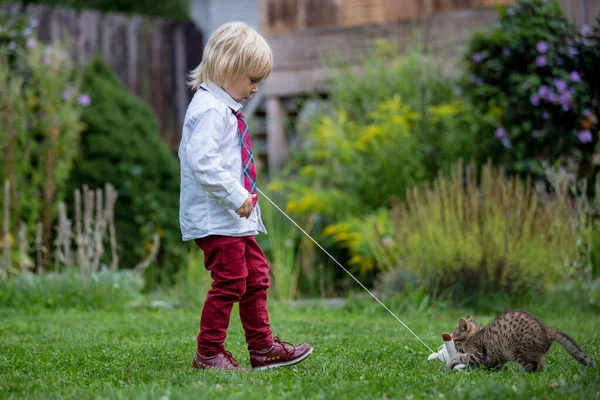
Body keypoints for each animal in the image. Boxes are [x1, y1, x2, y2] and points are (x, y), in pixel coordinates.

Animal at [450, 310, 596, 372]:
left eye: (454, 341)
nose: (455, 348)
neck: (475, 335)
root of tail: (546, 330)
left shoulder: (478, 354)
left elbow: (462, 357)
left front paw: (450, 363)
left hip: (519, 351)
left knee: (533, 368)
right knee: (540, 367)